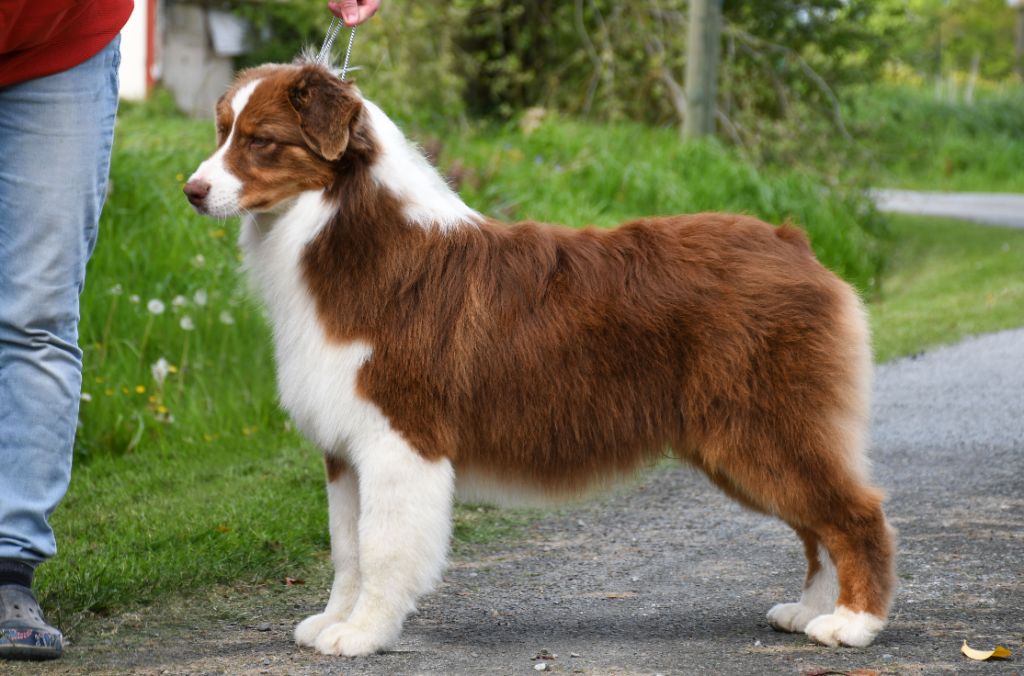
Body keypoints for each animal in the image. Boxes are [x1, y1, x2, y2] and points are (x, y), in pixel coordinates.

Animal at [186, 63, 897, 655]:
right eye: (223, 132)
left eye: (262, 140)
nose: (192, 190)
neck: (339, 231)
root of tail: (793, 243)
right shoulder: (344, 449)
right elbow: (346, 548)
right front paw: (334, 621)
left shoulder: (398, 438)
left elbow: (382, 548)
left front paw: (363, 634)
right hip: (745, 439)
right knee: (816, 526)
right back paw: (811, 611)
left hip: (761, 426)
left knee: (853, 514)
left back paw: (852, 623)